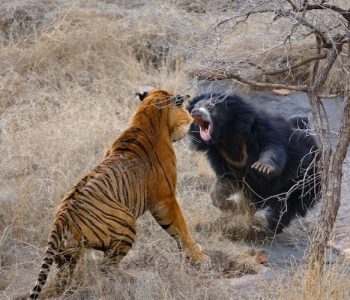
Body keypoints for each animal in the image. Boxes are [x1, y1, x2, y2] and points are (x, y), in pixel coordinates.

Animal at [29, 89, 208, 300]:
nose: (191, 118)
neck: (146, 116)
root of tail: (62, 215)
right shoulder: (166, 199)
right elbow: (181, 228)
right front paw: (199, 257)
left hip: (67, 254)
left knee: (65, 277)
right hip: (127, 224)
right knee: (106, 267)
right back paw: (132, 278)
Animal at [187, 94, 322, 234]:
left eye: (210, 106)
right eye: (195, 108)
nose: (195, 112)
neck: (226, 137)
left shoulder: (261, 129)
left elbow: (272, 148)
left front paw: (263, 167)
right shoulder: (221, 157)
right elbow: (224, 182)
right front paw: (233, 206)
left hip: (304, 180)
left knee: (285, 207)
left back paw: (266, 228)